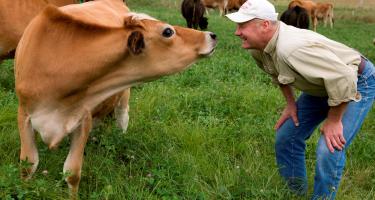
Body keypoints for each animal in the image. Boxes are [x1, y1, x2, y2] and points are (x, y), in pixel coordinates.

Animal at [14, 0, 217, 197]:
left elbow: (72, 173)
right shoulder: (24, 113)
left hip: (124, 98)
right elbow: (28, 165)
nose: (212, 35)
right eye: (168, 31)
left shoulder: (84, 117)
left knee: (121, 121)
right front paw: (24, 189)